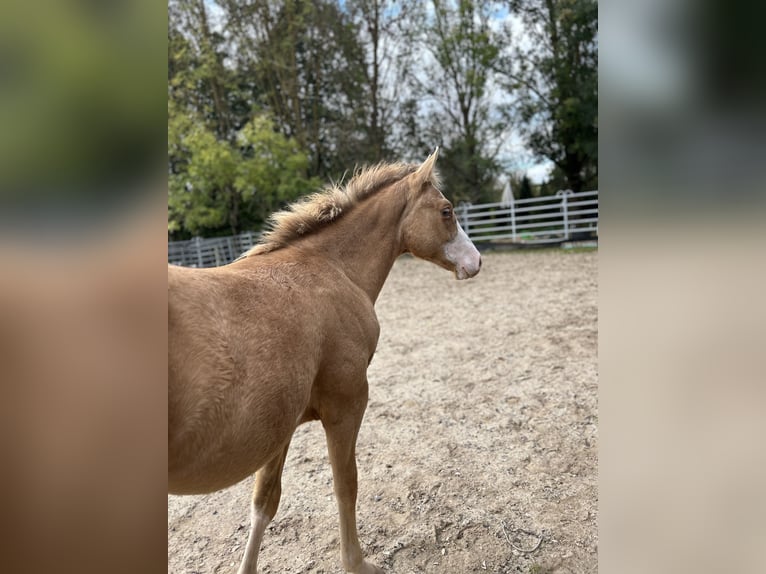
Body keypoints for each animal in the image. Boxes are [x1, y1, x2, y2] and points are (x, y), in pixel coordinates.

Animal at [170, 151, 484, 572]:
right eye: (446, 211)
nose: (476, 261)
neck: (331, 267)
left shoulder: (281, 425)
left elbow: (264, 503)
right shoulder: (346, 406)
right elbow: (346, 485)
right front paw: (357, 563)